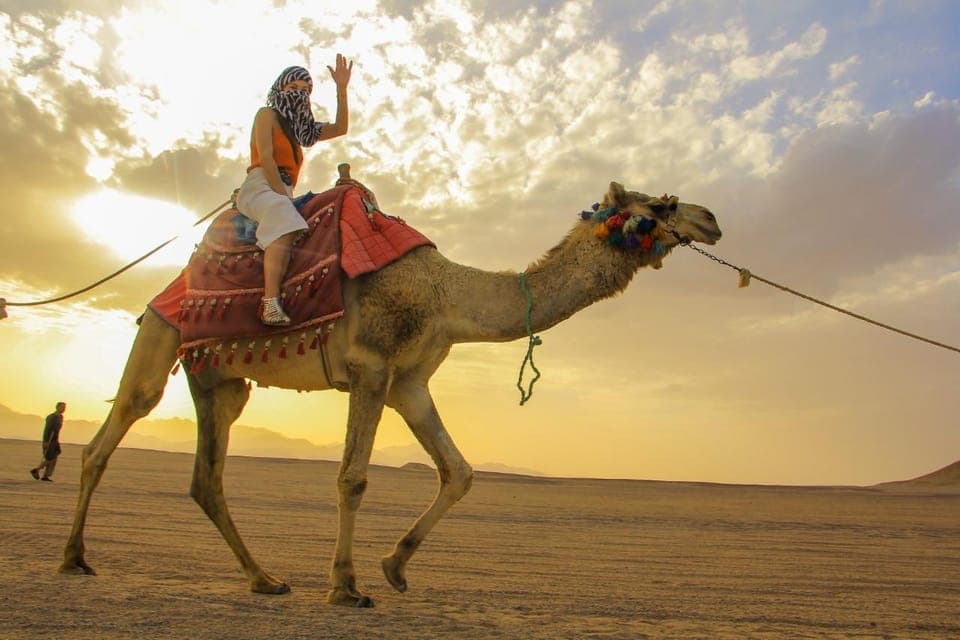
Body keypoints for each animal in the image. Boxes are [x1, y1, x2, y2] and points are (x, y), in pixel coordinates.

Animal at [60, 179, 721, 607]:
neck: (447, 293)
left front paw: (394, 568)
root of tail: (172, 282)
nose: (712, 219)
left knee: (204, 477)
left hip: (219, 379)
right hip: (161, 335)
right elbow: (353, 478)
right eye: (660, 202)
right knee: (117, 427)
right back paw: (73, 558)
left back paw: (264, 579)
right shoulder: (371, 366)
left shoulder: (409, 381)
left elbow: (459, 472)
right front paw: (345, 586)